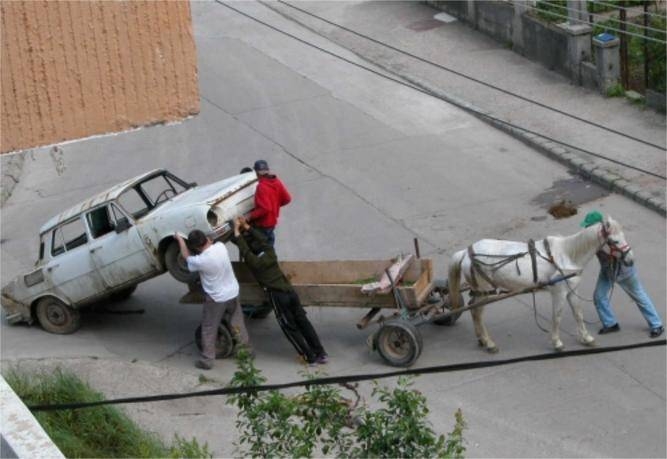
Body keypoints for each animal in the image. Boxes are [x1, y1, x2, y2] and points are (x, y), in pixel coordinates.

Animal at [448, 217, 632, 354]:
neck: (567, 255)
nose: (631, 260)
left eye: (624, 236)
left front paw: (586, 338)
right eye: (615, 241)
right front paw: (557, 342)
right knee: (477, 313)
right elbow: (557, 316)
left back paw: (481, 339)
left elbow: (578, 314)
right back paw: (488, 343)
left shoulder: (572, 291)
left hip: (480, 291)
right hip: (485, 291)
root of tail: (466, 253)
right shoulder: (559, 292)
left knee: (473, 309)